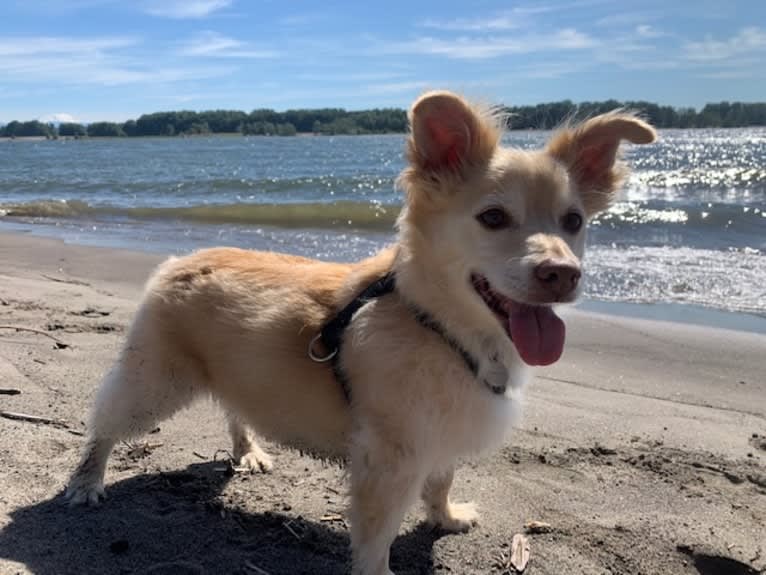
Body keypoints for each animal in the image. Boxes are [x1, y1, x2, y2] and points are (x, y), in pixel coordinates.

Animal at [66, 92, 656, 572]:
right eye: (493, 217)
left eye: (574, 222)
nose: (563, 274)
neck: (439, 325)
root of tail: (181, 258)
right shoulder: (389, 461)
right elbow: (376, 534)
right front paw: (382, 569)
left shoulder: (442, 436)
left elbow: (441, 482)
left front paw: (446, 517)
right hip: (155, 382)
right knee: (106, 424)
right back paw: (87, 483)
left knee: (235, 406)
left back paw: (247, 450)